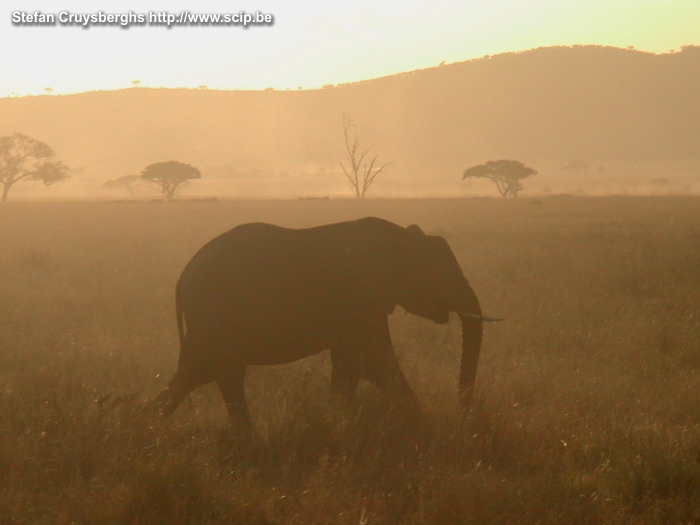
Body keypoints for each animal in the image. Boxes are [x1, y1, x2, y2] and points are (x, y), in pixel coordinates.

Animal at [154, 217, 504, 426]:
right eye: (435, 272)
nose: (465, 412)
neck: (396, 237)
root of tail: (183, 276)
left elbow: (358, 365)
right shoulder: (356, 298)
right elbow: (372, 362)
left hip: (206, 320)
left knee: (194, 373)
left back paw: (151, 428)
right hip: (214, 312)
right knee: (227, 375)